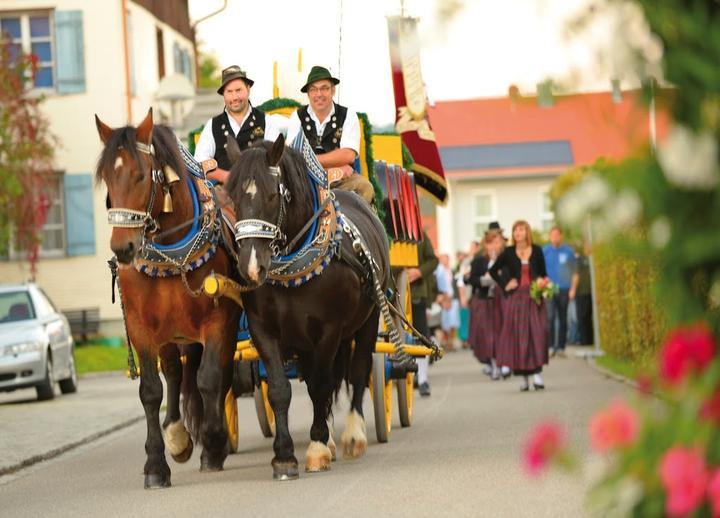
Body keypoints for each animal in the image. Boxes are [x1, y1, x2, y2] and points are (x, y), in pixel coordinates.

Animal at [91, 110, 239, 492]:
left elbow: (210, 378)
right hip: (172, 333)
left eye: (142, 175)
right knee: (174, 372)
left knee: (211, 374)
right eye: (106, 178)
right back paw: (176, 432)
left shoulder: (219, 320)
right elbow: (151, 390)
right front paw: (156, 464)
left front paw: (213, 444)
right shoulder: (141, 327)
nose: (122, 248)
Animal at [226, 136, 388, 482]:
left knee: (358, 369)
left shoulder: (329, 330)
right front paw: (285, 457)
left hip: (368, 318)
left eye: (273, 195)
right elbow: (280, 389)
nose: (251, 267)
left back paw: (352, 435)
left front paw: (316, 449)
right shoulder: (264, 330)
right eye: (232, 197)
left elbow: (321, 384)